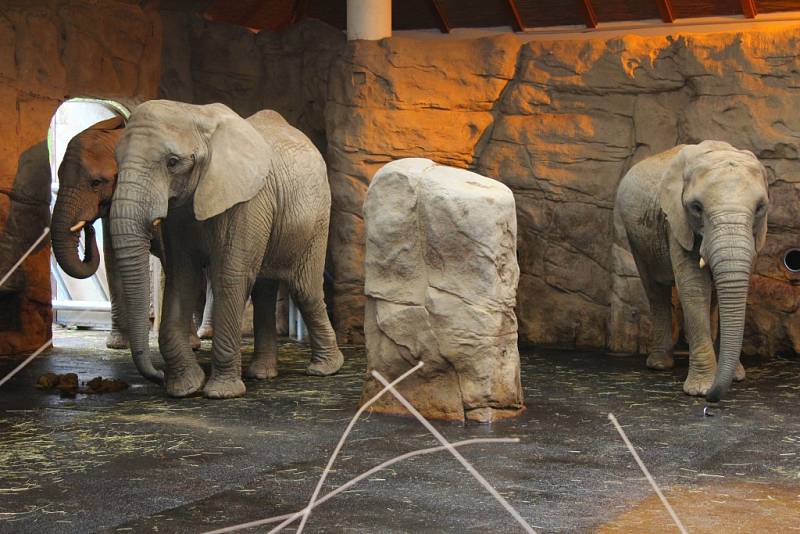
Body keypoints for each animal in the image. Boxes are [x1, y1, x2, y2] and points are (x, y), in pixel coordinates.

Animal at [108, 102, 340, 400]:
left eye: (172, 162)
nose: (158, 376)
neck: (196, 114)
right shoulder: (180, 215)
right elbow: (181, 278)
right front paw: (185, 388)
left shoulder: (248, 201)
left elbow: (230, 278)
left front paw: (221, 393)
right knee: (264, 290)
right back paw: (262, 374)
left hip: (317, 217)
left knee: (304, 289)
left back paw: (324, 369)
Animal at [616, 141, 772, 402]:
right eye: (696, 208)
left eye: (760, 207)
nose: (712, 399)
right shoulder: (676, 223)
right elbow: (694, 287)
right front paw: (700, 390)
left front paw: (736, 377)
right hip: (635, 237)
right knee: (654, 290)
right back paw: (660, 364)